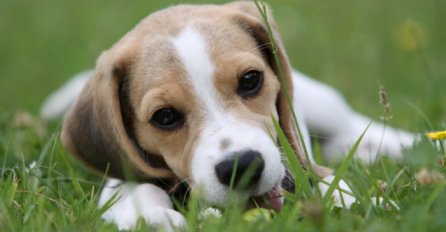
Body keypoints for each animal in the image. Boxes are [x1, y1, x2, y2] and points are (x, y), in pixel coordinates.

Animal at [40, 1, 412, 230]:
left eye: (250, 80)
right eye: (165, 117)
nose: (242, 166)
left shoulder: (304, 167)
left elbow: (330, 184)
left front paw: (357, 204)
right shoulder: (120, 180)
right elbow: (140, 190)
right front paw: (156, 218)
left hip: (322, 103)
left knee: (352, 124)